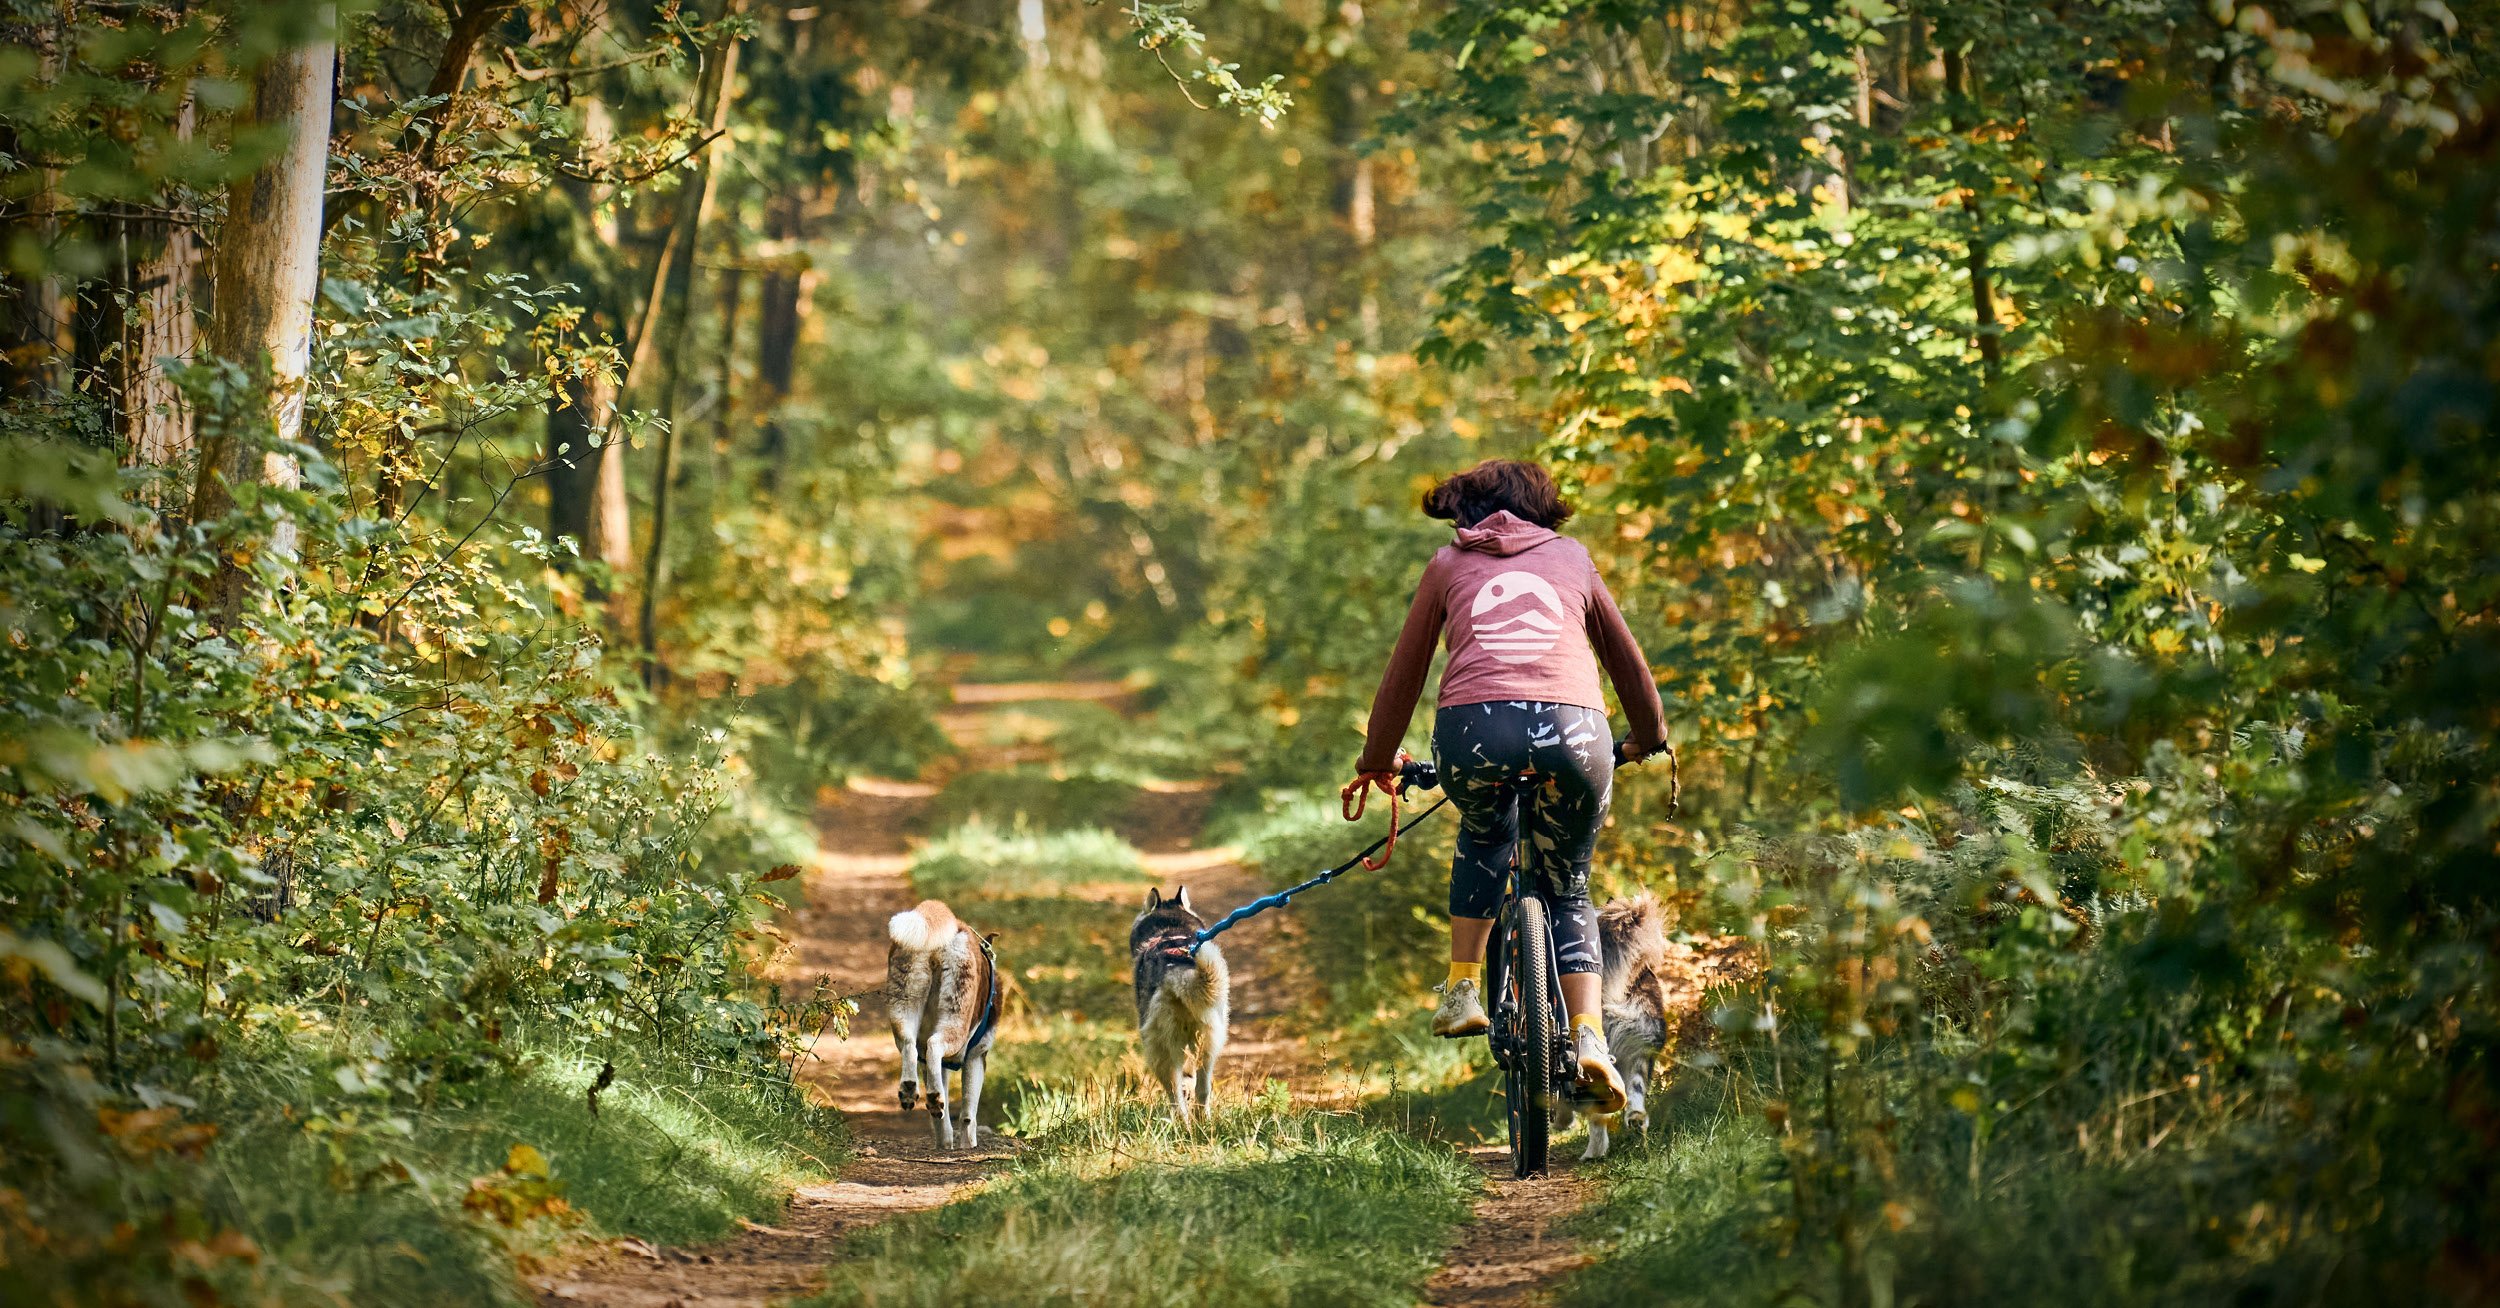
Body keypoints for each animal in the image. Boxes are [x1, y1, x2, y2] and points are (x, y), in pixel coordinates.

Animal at [885, 895, 990, 1150]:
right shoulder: (977, 1056)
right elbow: (968, 1112)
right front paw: (968, 1144)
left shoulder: (935, 1066)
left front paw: (944, 1141)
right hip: (956, 1020)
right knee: (935, 1045)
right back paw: (931, 1098)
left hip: (904, 1006)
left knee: (909, 1046)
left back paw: (911, 1090)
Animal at [1135, 890, 1230, 1125]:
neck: (1169, 929)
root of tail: (1176, 969)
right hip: (1209, 1043)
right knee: (1203, 1089)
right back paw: (1203, 1120)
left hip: (1161, 1049)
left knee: (1174, 1096)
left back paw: (1181, 1123)